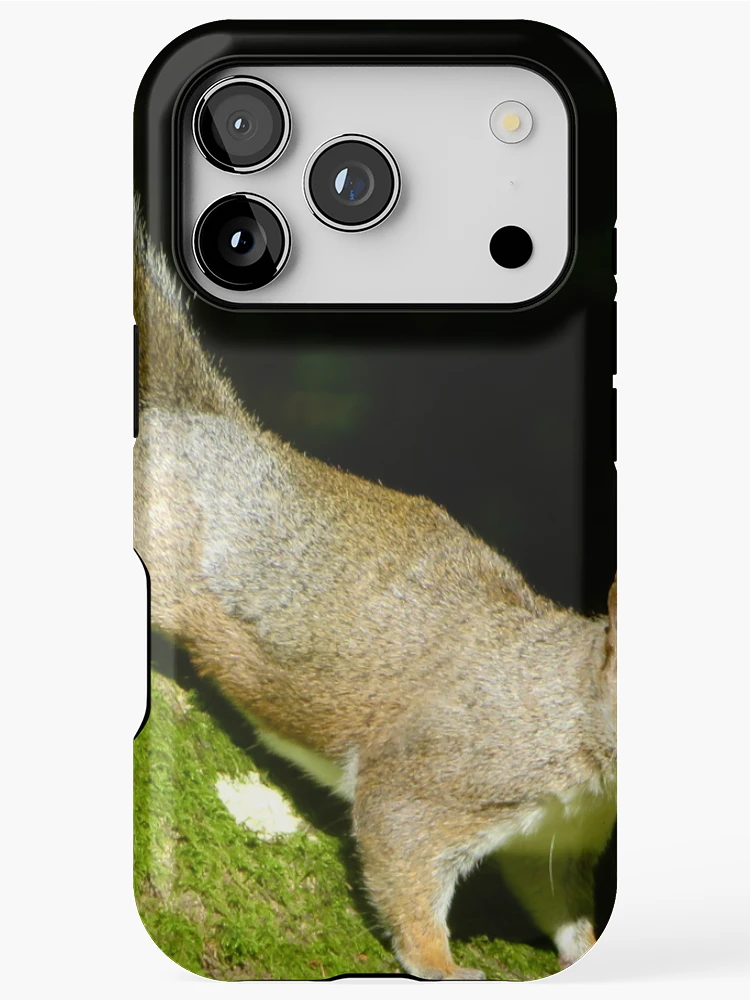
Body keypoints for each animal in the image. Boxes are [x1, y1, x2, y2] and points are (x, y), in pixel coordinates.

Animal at [134, 219, 617, 981]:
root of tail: (200, 428)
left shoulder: (557, 838)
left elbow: (555, 901)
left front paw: (586, 949)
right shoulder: (451, 767)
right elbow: (400, 843)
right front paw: (441, 965)